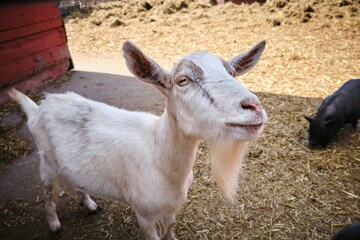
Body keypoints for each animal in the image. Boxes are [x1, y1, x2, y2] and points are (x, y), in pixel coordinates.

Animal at [8, 40, 268, 239]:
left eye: (232, 73)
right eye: (183, 80)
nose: (253, 106)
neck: (159, 157)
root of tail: (39, 107)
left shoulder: (172, 207)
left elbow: (170, 227)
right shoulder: (143, 214)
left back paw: (90, 205)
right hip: (46, 161)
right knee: (47, 194)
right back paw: (54, 225)